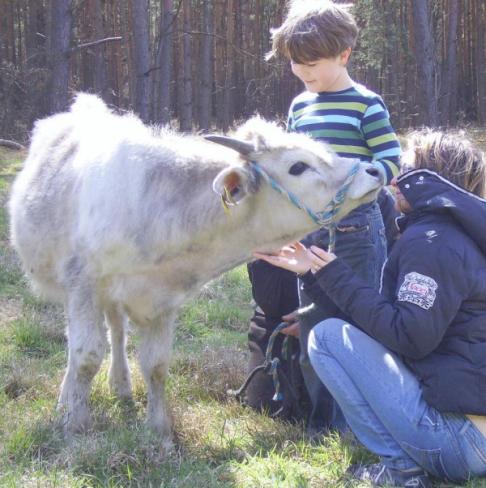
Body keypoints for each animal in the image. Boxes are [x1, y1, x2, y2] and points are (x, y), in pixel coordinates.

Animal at [5, 93, 382, 436]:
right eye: (298, 166)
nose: (374, 170)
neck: (157, 210)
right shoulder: (82, 285)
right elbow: (85, 356)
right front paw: (76, 425)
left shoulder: (161, 299)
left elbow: (156, 365)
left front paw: (159, 432)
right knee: (80, 344)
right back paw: (68, 400)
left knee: (116, 331)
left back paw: (120, 386)